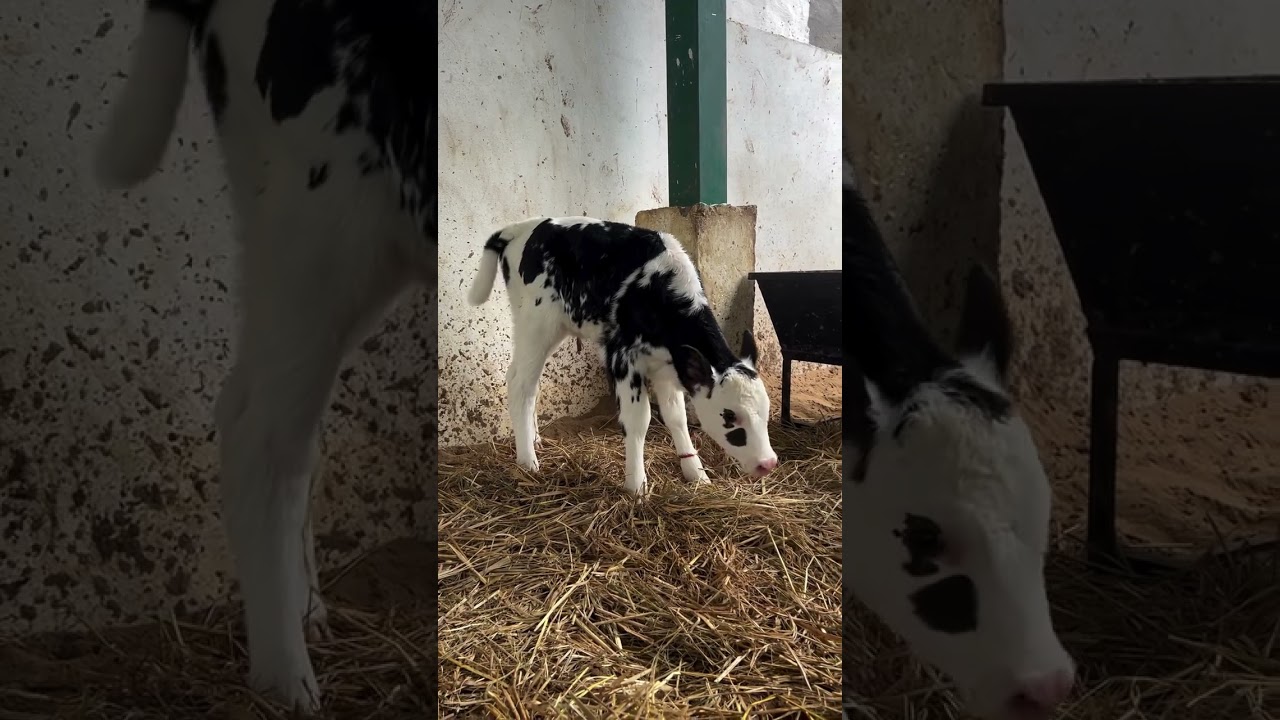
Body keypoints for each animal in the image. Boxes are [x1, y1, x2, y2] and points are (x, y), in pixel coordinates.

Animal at [94, 0, 434, 712]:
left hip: (298, 227)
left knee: (263, 412)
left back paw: (307, 614)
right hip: (326, 220)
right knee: (263, 433)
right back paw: (287, 680)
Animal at [467, 217, 778, 496]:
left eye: (765, 412)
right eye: (730, 417)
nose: (768, 463)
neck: (657, 292)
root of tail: (520, 228)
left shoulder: (668, 365)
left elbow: (676, 417)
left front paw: (696, 474)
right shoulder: (623, 357)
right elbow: (639, 420)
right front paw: (636, 486)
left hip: (550, 330)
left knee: (521, 376)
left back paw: (534, 439)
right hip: (536, 323)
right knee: (521, 384)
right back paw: (528, 461)